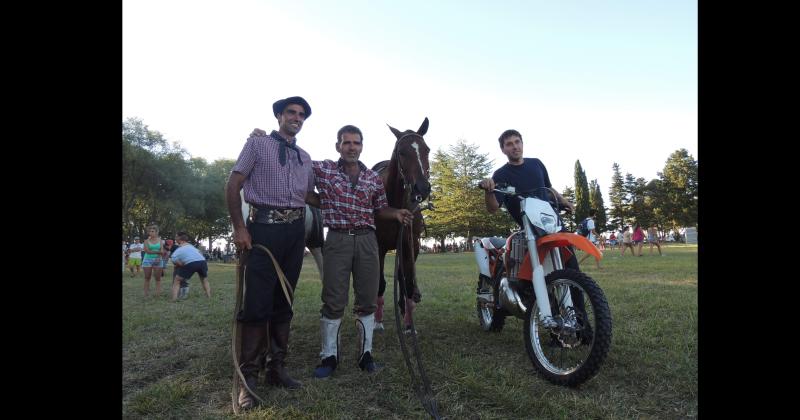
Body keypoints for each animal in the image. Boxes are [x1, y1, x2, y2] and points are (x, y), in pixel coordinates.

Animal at [374, 116, 432, 330]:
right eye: (401, 152)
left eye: (426, 150)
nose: (422, 187)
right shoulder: (379, 246)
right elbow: (380, 283)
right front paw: (377, 321)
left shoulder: (410, 244)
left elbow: (407, 281)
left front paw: (408, 323)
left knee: (402, 276)